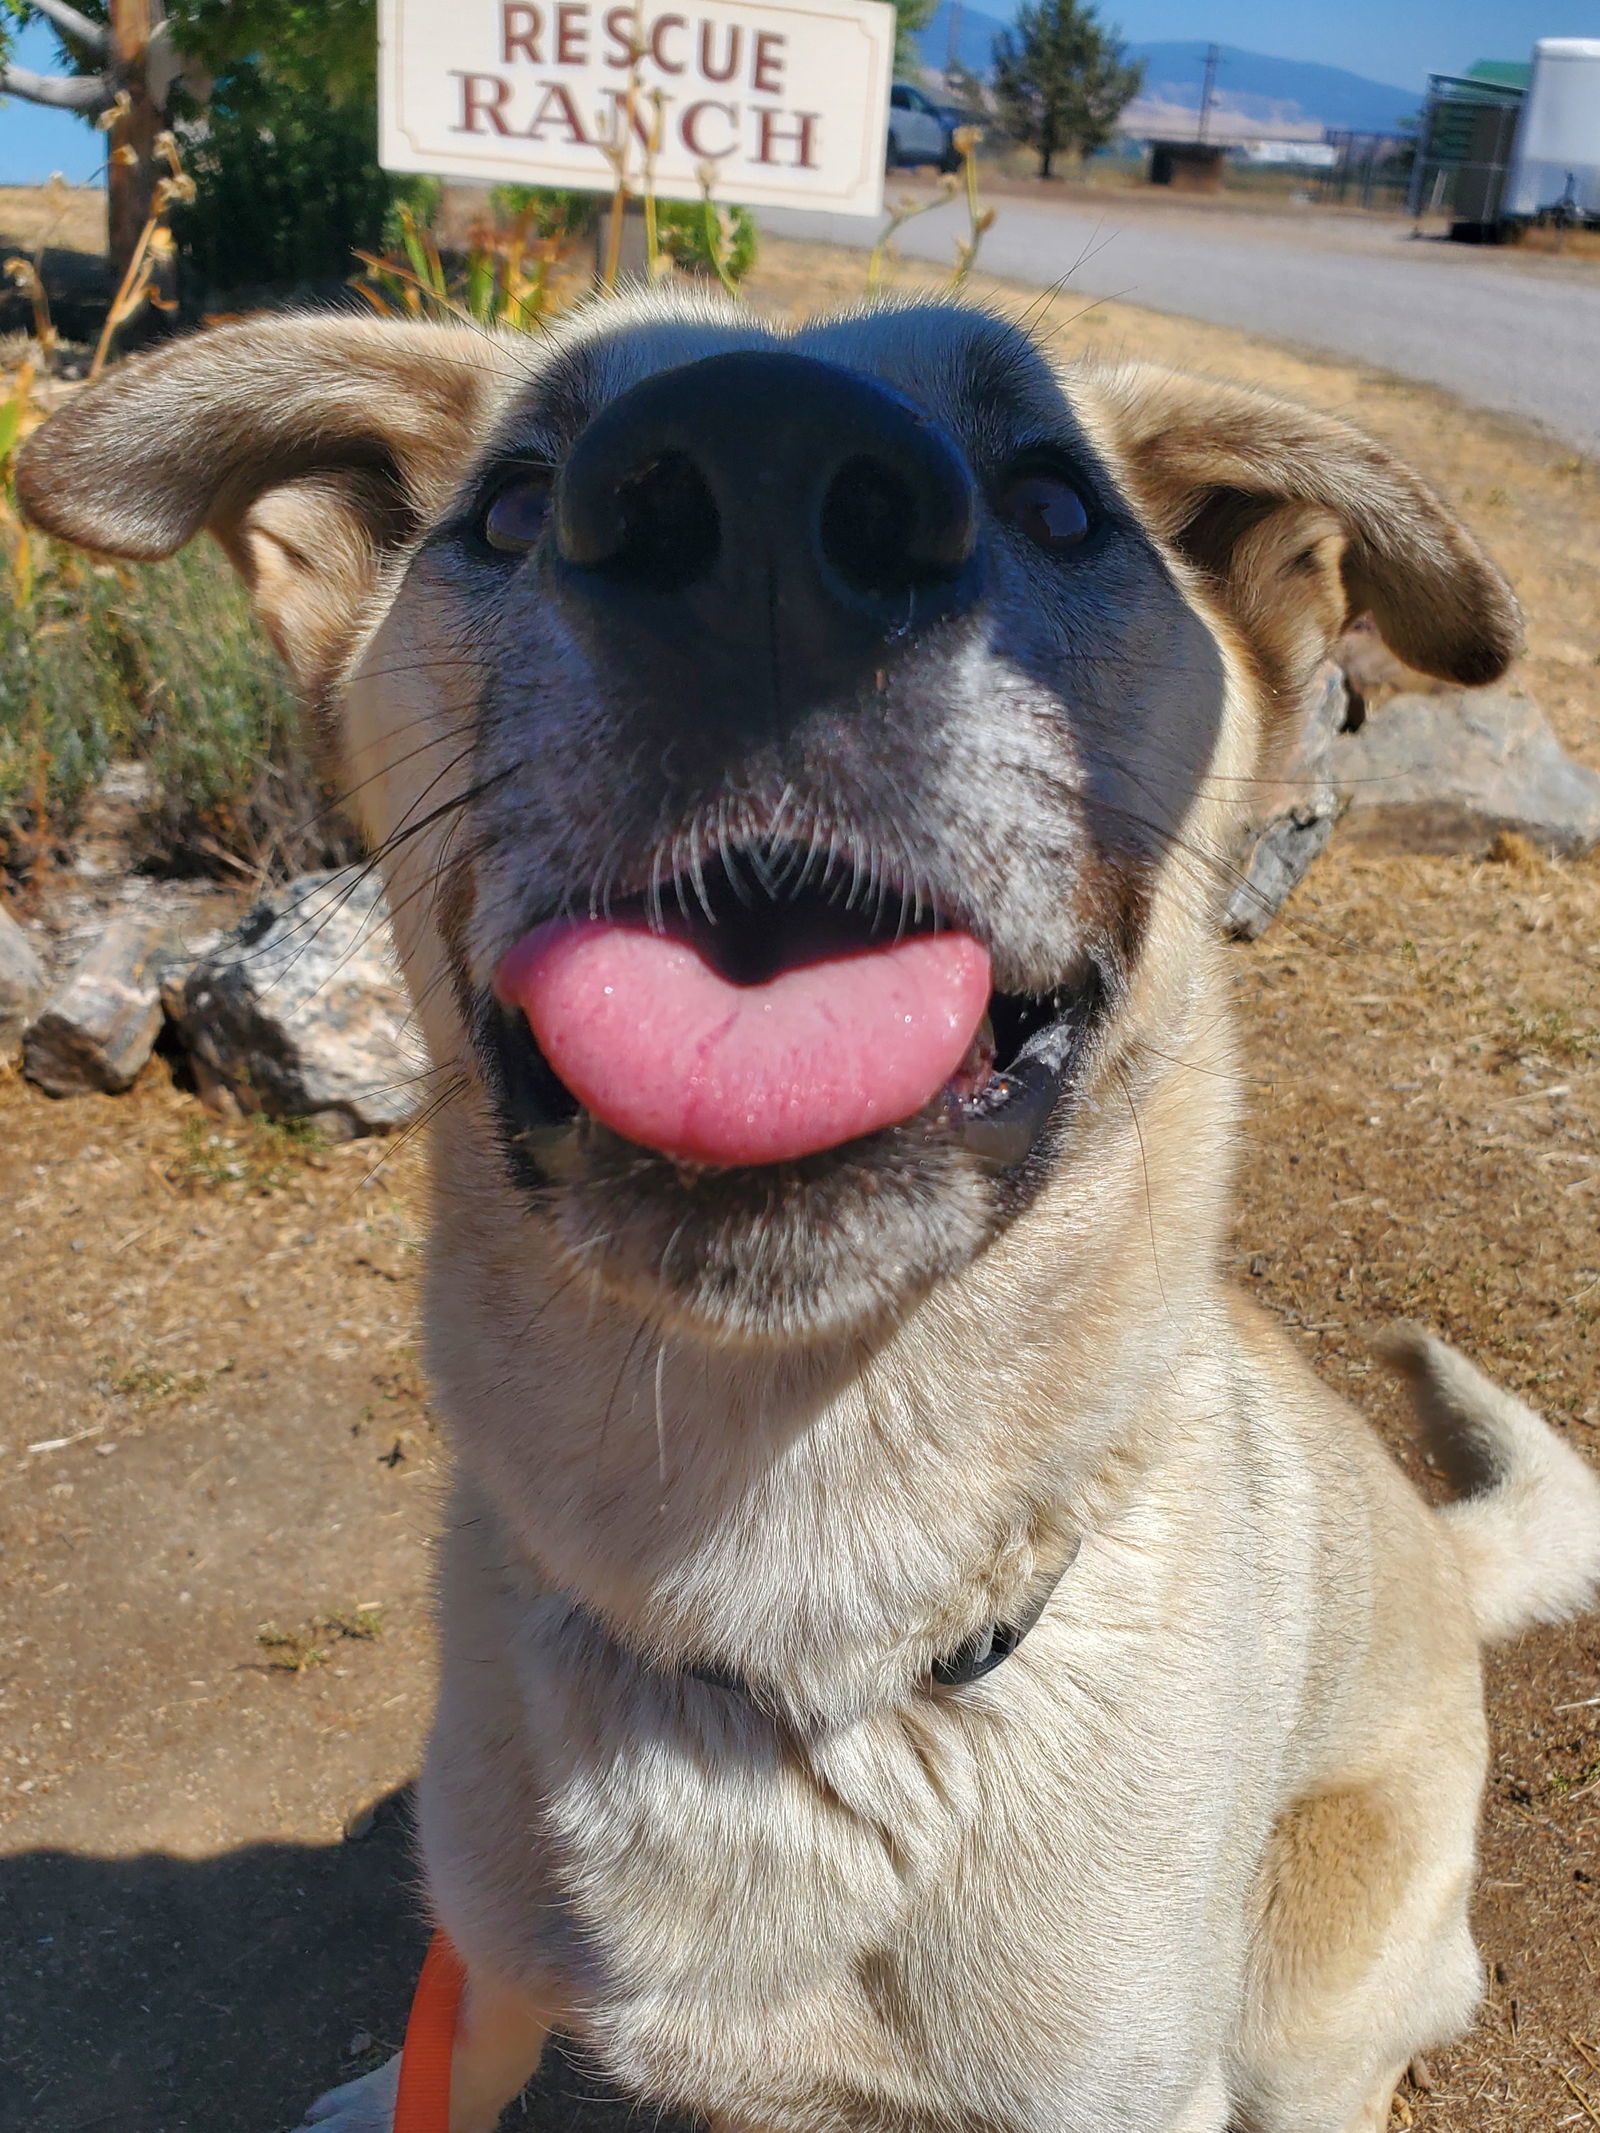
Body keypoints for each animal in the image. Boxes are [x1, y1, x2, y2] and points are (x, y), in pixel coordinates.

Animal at [21, 296, 1600, 2133]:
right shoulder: (486, 1966)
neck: (782, 1632)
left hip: (1312, 2000)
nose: (759, 485)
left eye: (1060, 502)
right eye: (512, 501)